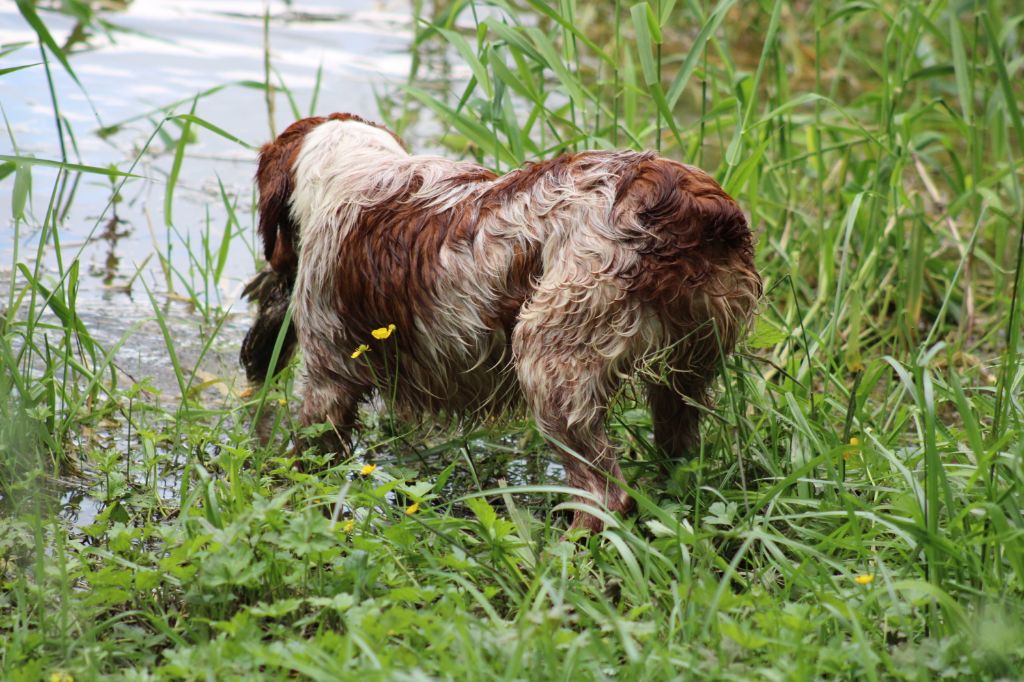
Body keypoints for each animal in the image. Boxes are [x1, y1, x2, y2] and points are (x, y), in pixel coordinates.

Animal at [235, 112, 757, 532]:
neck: (356, 171)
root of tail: (691, 208)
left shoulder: (328, 374)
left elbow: (308, 454)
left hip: (549, 361)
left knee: (606, 495)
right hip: (686, 368)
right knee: (678, 453)